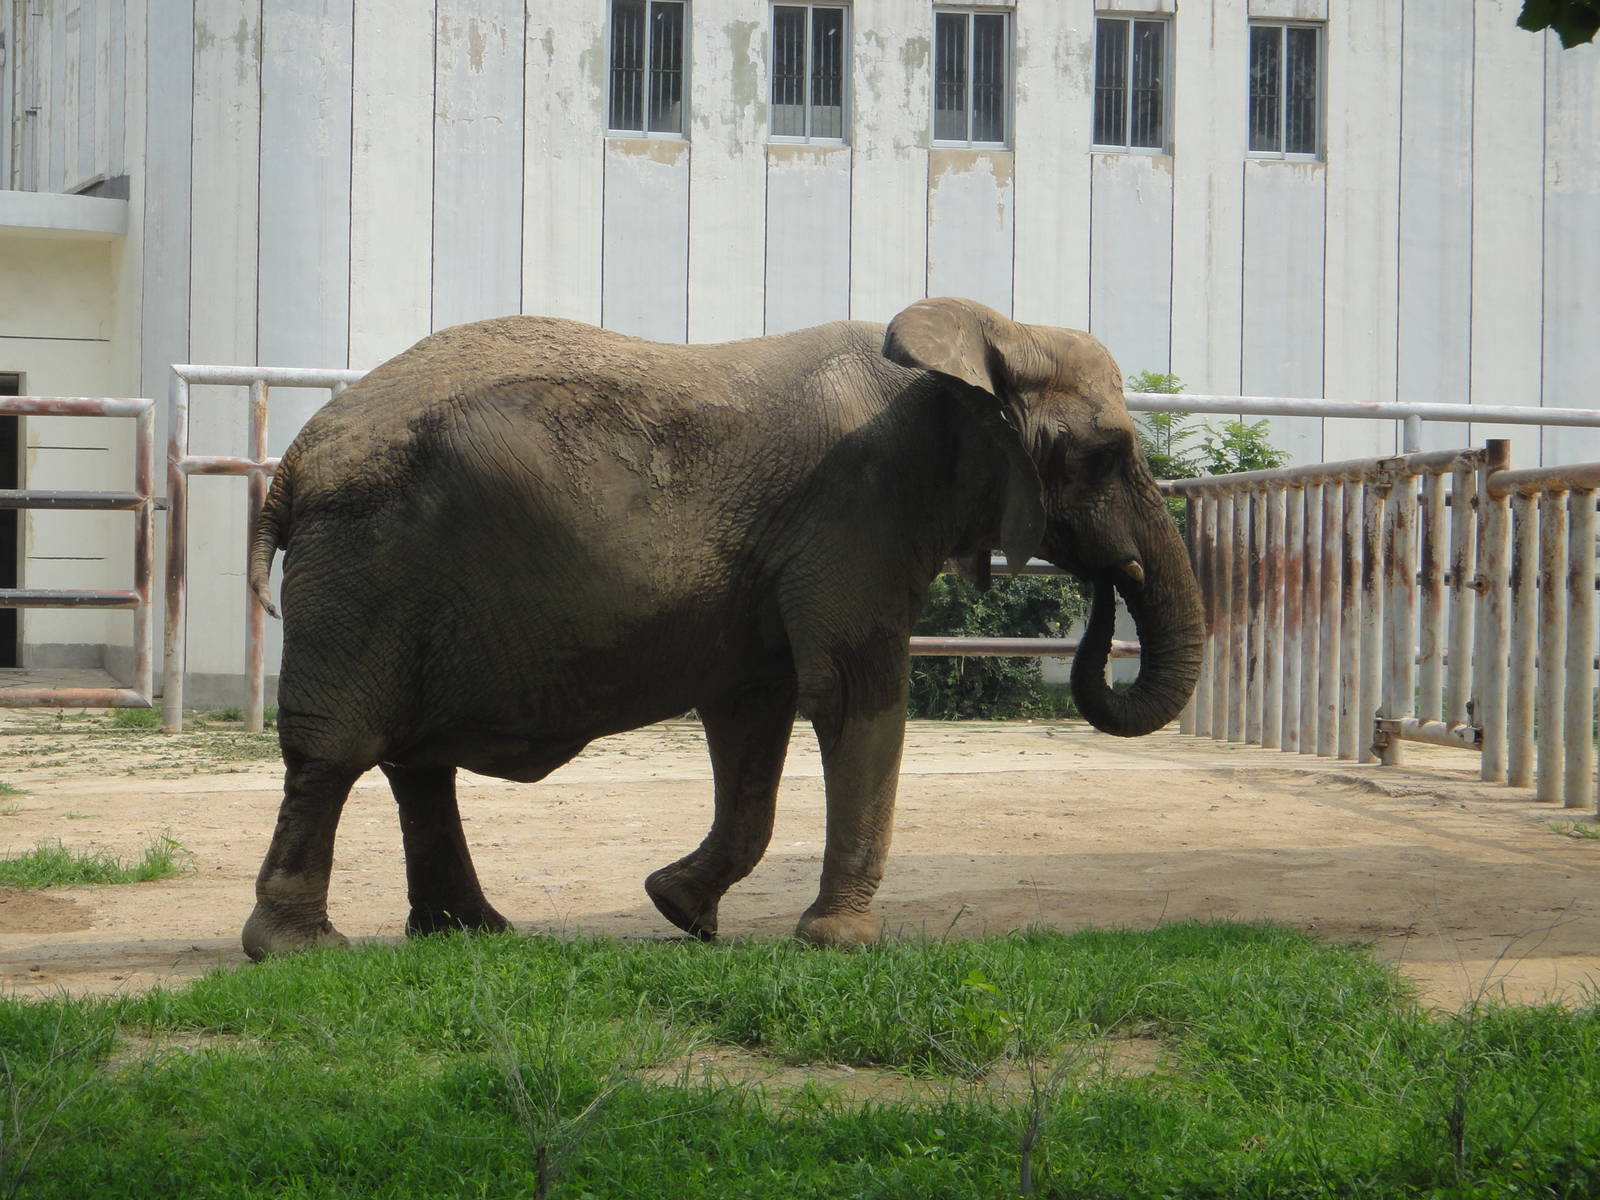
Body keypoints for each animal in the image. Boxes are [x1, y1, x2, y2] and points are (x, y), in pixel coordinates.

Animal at [239, 297, 1205, 960]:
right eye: (1107, 454)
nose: (1113, 579)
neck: (980, 337)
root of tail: (294, 463)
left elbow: (754, 718)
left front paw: (680, 910)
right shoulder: (858, 509)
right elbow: (851, 694)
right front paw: (839, 945)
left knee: (415, 761)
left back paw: (475, 933)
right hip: (367, 561)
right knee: (336, 751)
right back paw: (301, 951)